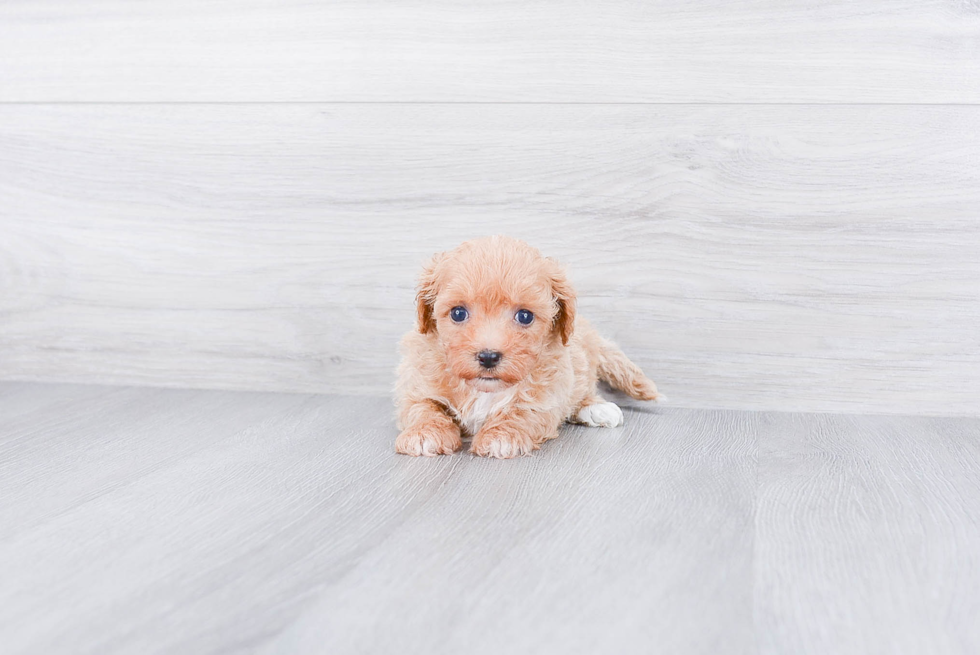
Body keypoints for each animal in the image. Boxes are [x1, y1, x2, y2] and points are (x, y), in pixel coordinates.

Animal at [394, 237, 664, 462]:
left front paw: (500, 436)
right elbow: (424, 408)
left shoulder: (548, 392)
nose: (488, 357)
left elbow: (522, 411)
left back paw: (597, 407)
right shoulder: (417, 384)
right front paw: (424, 433)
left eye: (525, 316)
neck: (485, 390)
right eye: (458, 313)